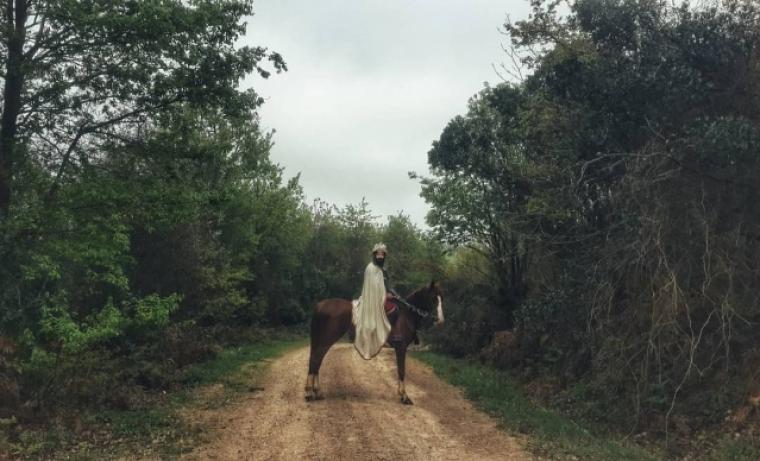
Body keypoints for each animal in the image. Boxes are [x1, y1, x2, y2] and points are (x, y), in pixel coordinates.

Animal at [304, 280, 442, 402]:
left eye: (441, 298)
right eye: (433, 298)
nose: (439, 320)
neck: (406, 315)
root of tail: (320, 305)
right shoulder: (401, 347)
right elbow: (401, 371)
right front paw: (404, 396)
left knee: (317, 362)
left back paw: (317, 392)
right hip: (326, 340)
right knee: (316, 360)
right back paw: (310, 393)